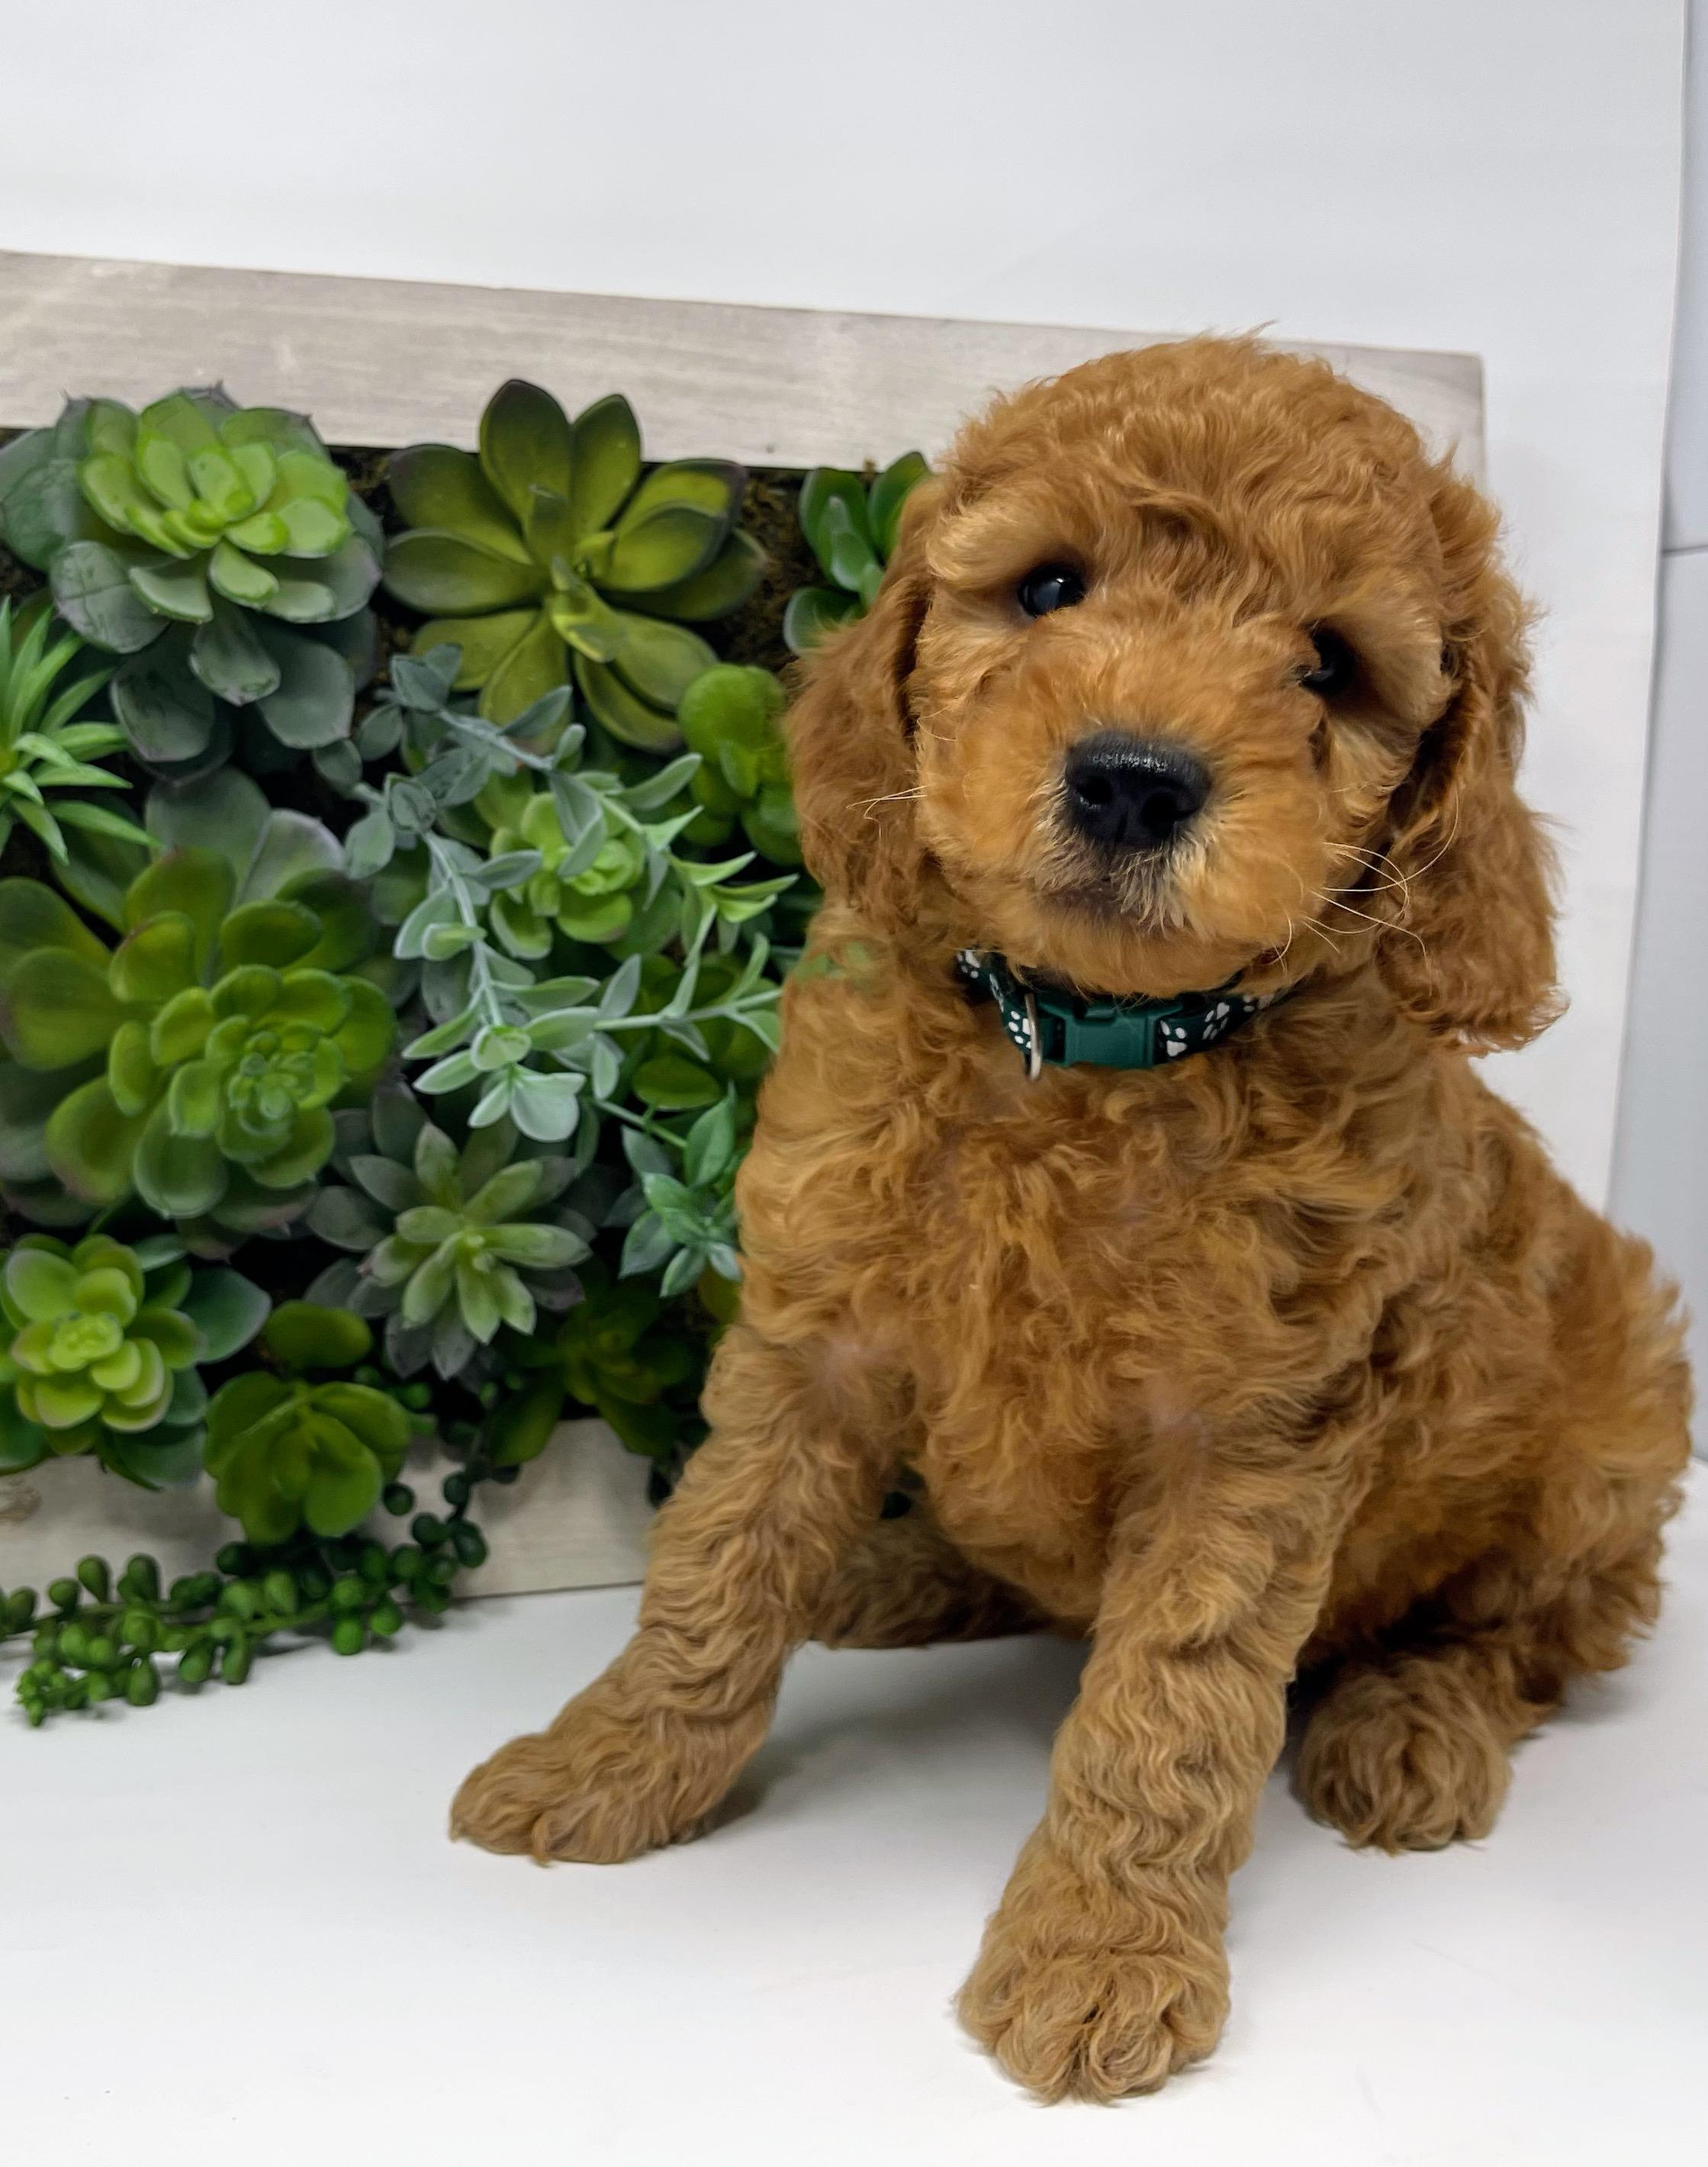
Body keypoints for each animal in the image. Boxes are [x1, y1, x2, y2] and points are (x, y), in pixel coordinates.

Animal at [452, 337, 1692, 2102]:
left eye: (1327, 666)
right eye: (1048, 586)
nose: (1131, 778)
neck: (1086, 1051)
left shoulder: (1248, 1437)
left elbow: (1167, 1705)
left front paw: (1098, 1954)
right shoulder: (815, 1332)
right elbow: (716, 1563)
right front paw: (607, 1763)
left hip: (1611, 1423)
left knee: (1518, 1634)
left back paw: (1412, 1725)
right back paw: (891, 1573)